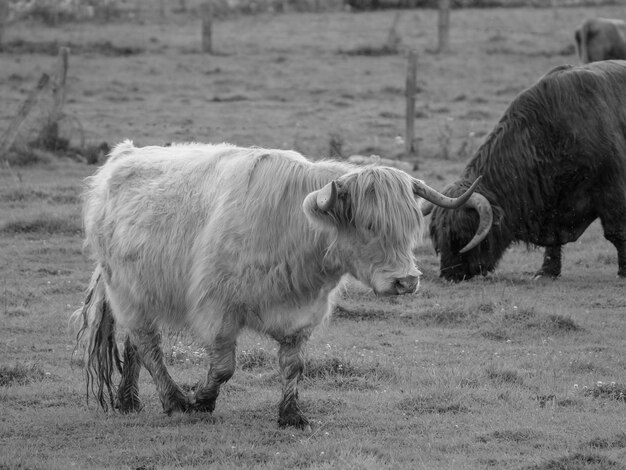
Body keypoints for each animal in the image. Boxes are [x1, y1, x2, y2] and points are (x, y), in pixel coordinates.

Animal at [73, 140, 478, 430]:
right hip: (127, 291)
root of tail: (122, 156)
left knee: (134, 344)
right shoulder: (218, 309)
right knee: (147, 343)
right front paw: (201, 402)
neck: (291, 230)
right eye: (368, 225)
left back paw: (128, 401)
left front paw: (291, 416)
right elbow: (223, 367)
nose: (406, 281)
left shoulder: (303, 314)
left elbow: (293, 366)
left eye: (412, 226)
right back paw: (173, 401)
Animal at [426, 61, 624, 282]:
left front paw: (623, 271)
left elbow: (616, 231)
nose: (449, 275)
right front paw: (547, 271)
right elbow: (553, 245)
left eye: (460, 236)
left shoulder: (612, 189)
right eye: (436, 236)